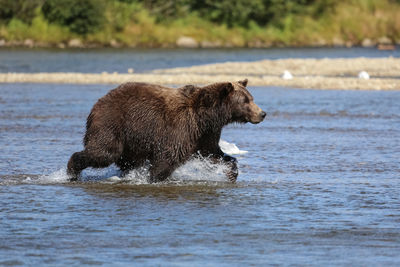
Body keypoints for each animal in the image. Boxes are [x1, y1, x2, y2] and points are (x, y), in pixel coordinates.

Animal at [66, 79, 266, 184]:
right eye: (246, 101)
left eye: (251, 98)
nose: (262, 113)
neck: (205, 117)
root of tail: (98, 102)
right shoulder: (181, 128)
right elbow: (168, 158)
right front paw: (154, 179)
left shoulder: (204, 135)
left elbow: (214, 153)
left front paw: (232, 173)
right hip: (113, 123)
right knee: (104, 152)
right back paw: (71, 172)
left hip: (133, 139)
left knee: (127, 161)